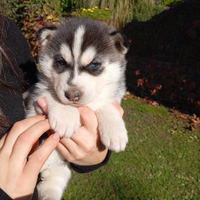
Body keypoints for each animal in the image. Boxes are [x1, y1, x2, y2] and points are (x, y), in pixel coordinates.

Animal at [24, 18, 129, 199]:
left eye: (94, 65)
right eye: (60, 62)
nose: (72, 95)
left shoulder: (113, 95)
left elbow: (106, 104)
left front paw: (116, 132)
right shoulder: (35, 95)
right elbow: (52, 93)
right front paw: (65, 116)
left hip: (59, 174)